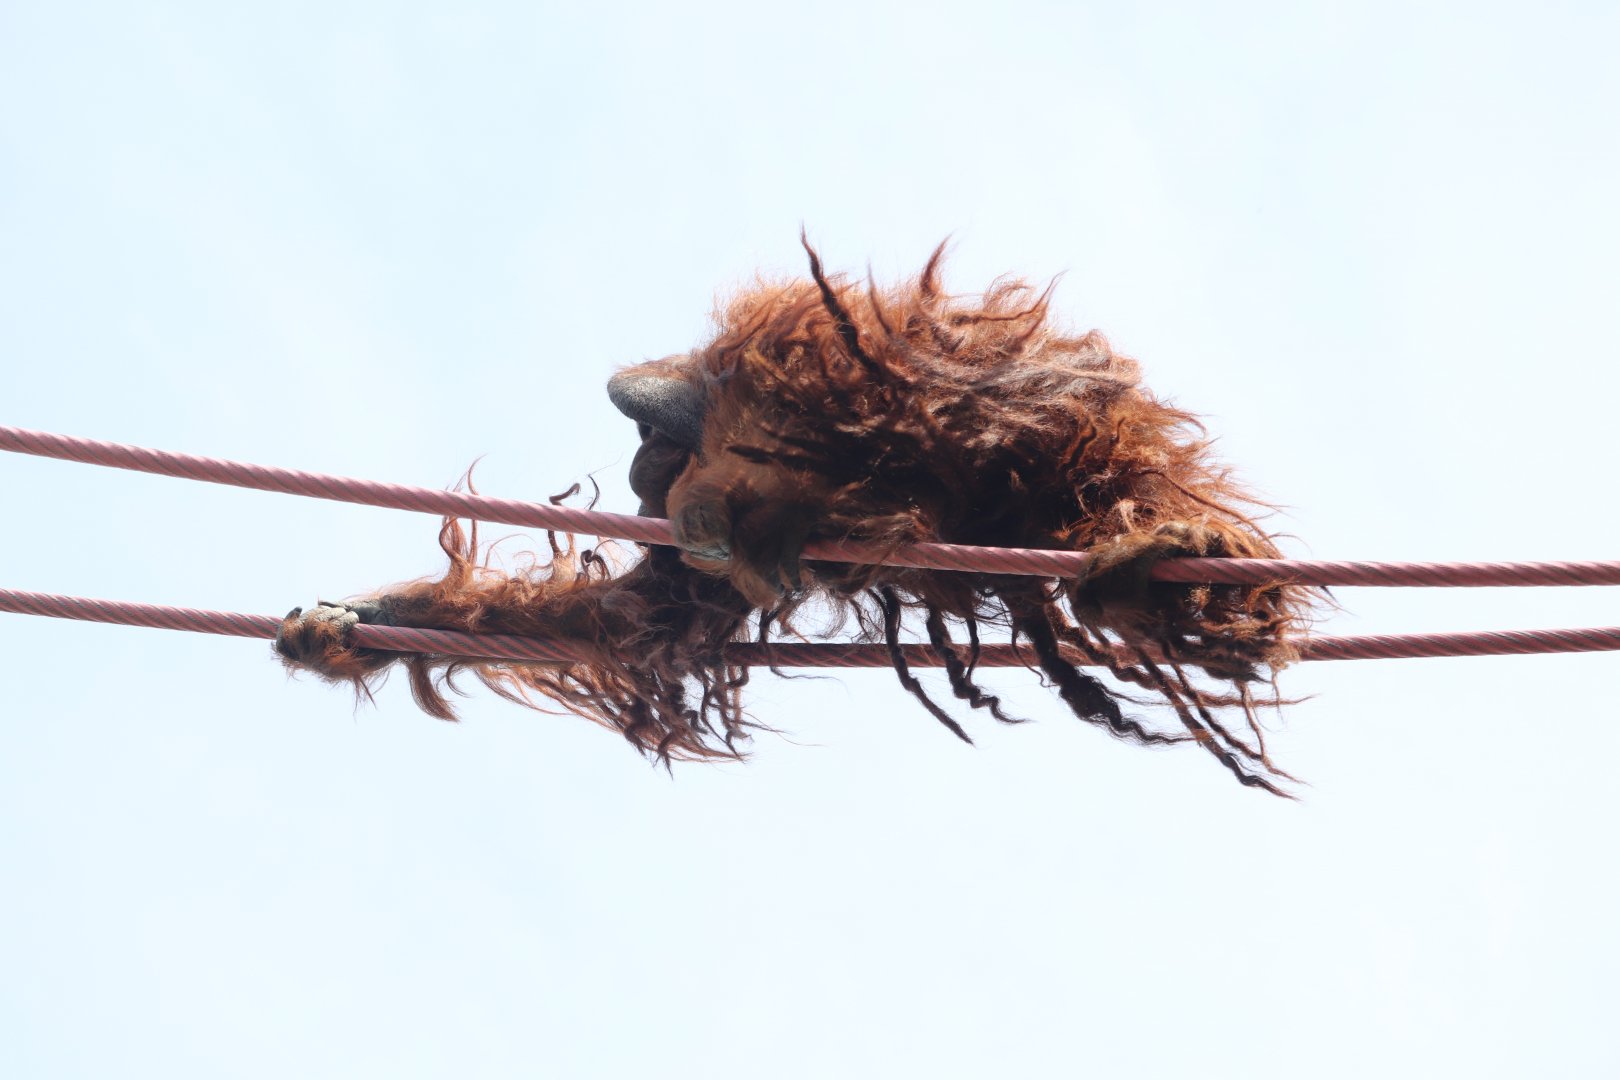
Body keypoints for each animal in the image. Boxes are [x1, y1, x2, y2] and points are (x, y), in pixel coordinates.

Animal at [275, 240, 1314, 795]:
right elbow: (635, 621)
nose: (643, 472)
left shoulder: (982, 400)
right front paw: (356, 626)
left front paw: (1162, 559)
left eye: (651, 448)